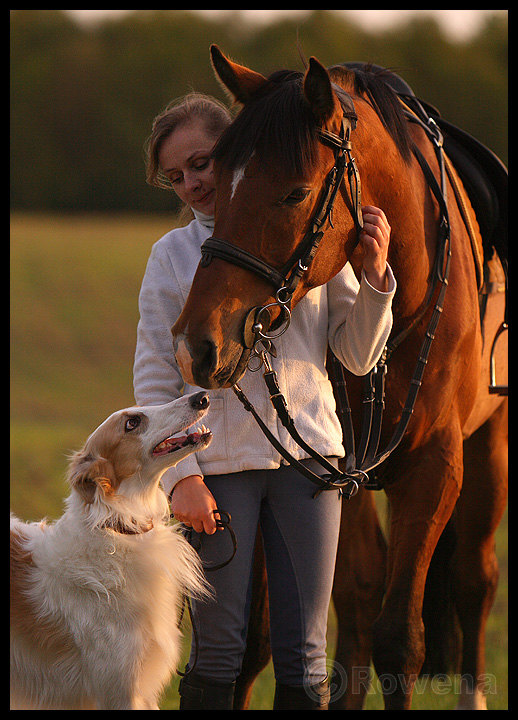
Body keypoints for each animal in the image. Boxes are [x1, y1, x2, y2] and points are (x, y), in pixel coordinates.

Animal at [173, 47, 510, 712]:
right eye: (215, 181)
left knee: (473, 581)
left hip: (492, 443)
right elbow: (351, 601)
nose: (199, 343)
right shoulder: (333, 468)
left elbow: (400, 639)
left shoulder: (435, 469)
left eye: (295, 192)